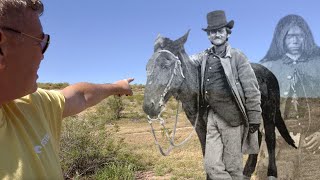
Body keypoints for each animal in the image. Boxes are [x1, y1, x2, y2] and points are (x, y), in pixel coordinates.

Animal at [144, 31, 296, 179]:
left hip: (269, 111)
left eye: (166, 65)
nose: (148, 107)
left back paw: (271, 173)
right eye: (147, 67)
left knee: (270, 138)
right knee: (257, 136)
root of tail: (270, 74)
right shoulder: (200, 127)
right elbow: (206, 153)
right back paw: (247, 171)